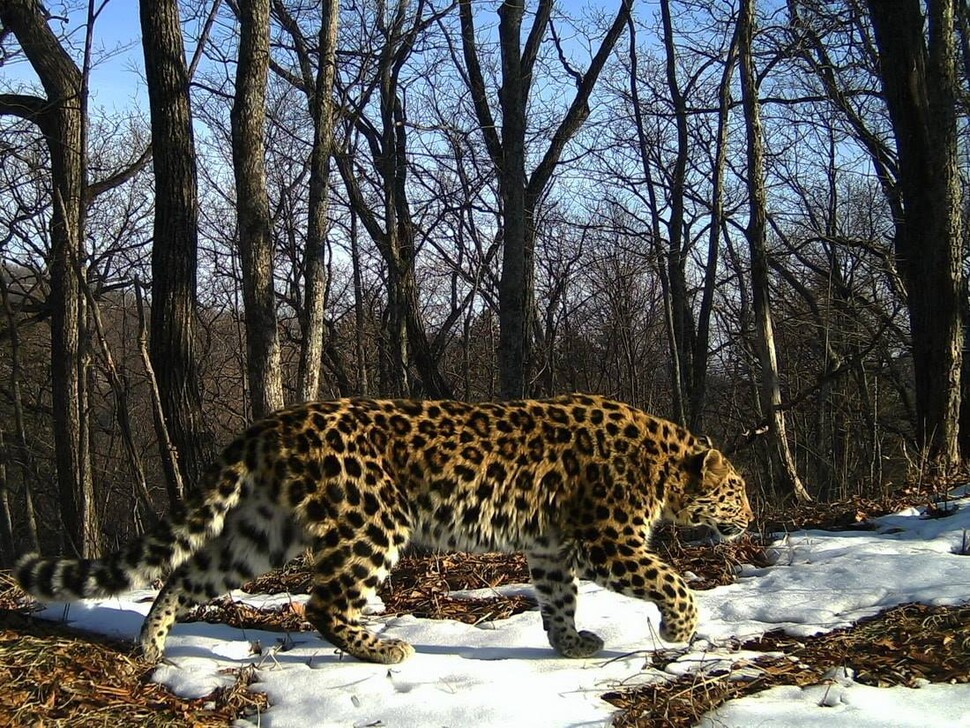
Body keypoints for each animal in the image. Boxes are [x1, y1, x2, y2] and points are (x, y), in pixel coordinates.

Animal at [17, 396, 756, 664]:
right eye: (738, 491)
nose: (753, 516)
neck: (664, 464)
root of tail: (271, 423)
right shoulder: (608, 541)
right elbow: (671, 579)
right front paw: (680, 630)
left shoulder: (550, 549)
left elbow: (557, 600)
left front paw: (571, 644)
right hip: (374, 519)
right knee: (322, 603)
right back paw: (383, 650)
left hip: (262, 532)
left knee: (183, 574)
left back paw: (149, 647)